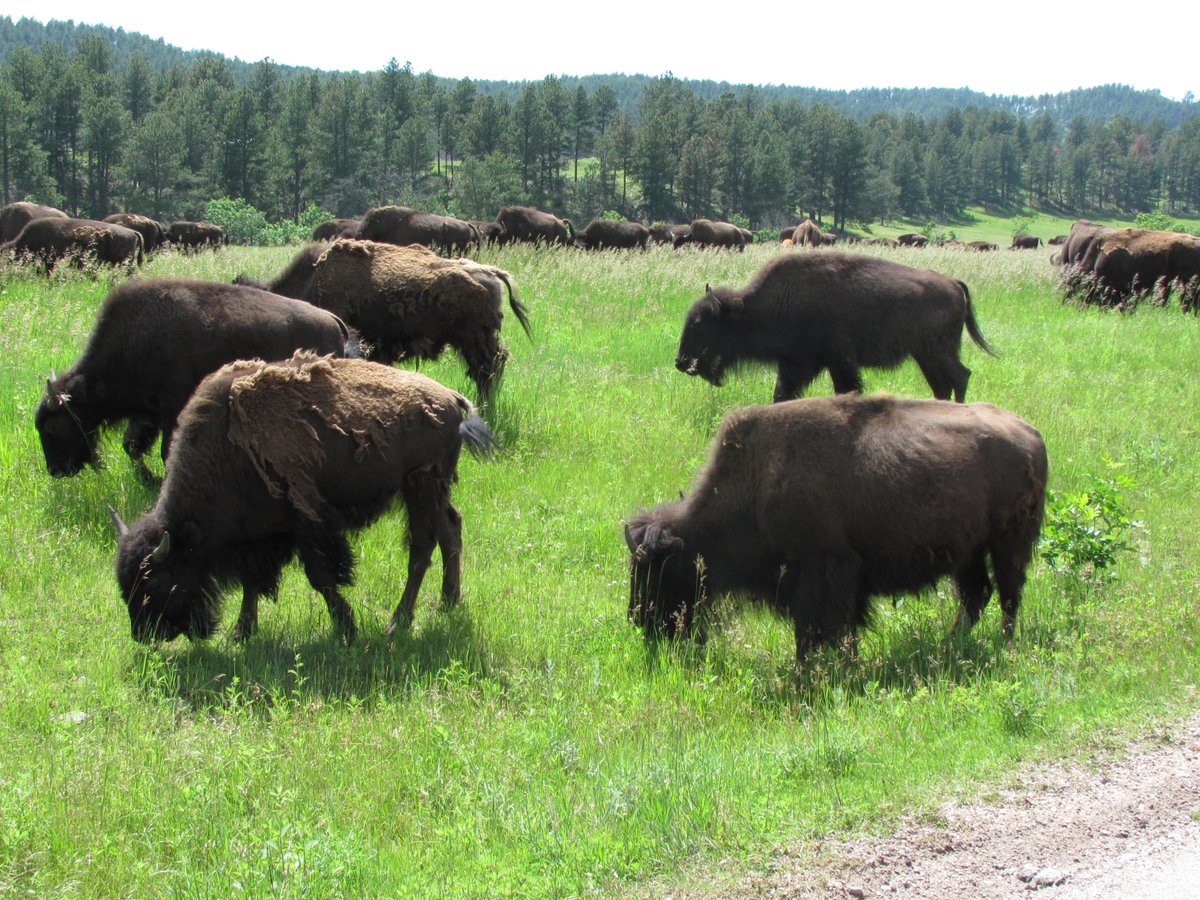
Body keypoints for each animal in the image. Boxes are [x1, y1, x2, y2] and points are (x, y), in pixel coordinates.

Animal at [36, 278, 353, 483]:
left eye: (52, 427)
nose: (57, 470)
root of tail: (332, 320)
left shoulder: (171, 407)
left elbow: (165, 449)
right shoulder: (149, 412)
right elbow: (133, 446)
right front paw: (148, 480)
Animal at [111, 353, 493, 644]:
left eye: (154, 581)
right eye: (125, 585)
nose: (144, 635)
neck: (225, 452)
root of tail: (450, 399)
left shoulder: (306, 526)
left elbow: (320, 577)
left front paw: (346, 628)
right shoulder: (258, 537)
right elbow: (253, 582)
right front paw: (241, 632)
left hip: (420, 489)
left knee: (421, 549)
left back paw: (397, 622)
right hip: (431, 492)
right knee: (450, 530)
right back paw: (448, 602)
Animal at [626, 394, 1048, 664]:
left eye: (657, 570)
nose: (639, 621)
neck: (758, 480)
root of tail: (1030, 433)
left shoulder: (821, 573)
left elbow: (813, 629)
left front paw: (808, 670)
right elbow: (840, 629)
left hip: (1008, 544)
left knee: (1009, 595)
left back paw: (1004, 646)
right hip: (968, 552)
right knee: (977, 594)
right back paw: (948, 645)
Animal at [675, 252, 994, 403]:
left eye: (700, 325)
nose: (680, 362)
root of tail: (954, 283)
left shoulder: (838, 360)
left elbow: (848, 388)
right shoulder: (797, 364)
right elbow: (782, 394)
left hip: (937, 351)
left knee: (960, 377)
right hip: (926, 356)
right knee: (944, 384)